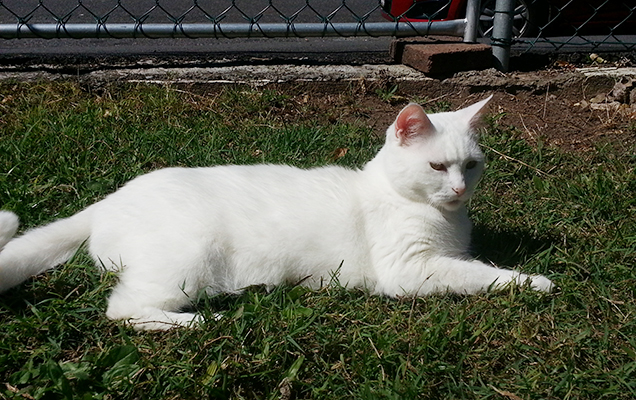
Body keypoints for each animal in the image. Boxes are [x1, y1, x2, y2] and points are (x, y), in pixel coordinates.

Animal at [0, 95, 552, 330]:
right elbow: (476, 273)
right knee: (123, 310)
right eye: (438, 166)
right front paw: (532, 282)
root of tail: (109, 200)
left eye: (472, 166)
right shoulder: (409, 270)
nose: (459, 188)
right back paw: (195, 323)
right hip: (187, 260)